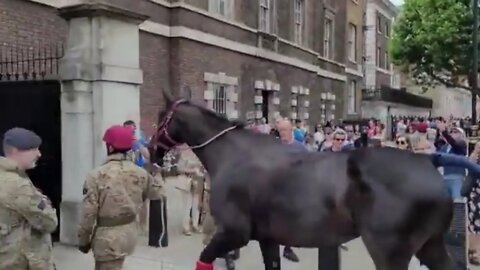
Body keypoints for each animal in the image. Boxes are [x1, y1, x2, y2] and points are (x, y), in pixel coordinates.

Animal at [151, 92, 454, 268]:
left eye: (160, 117)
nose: (153, 150)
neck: (233, 154)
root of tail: (429, 167)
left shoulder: (233, 233)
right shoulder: (268, 238)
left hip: (390, 252)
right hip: (430, 246)